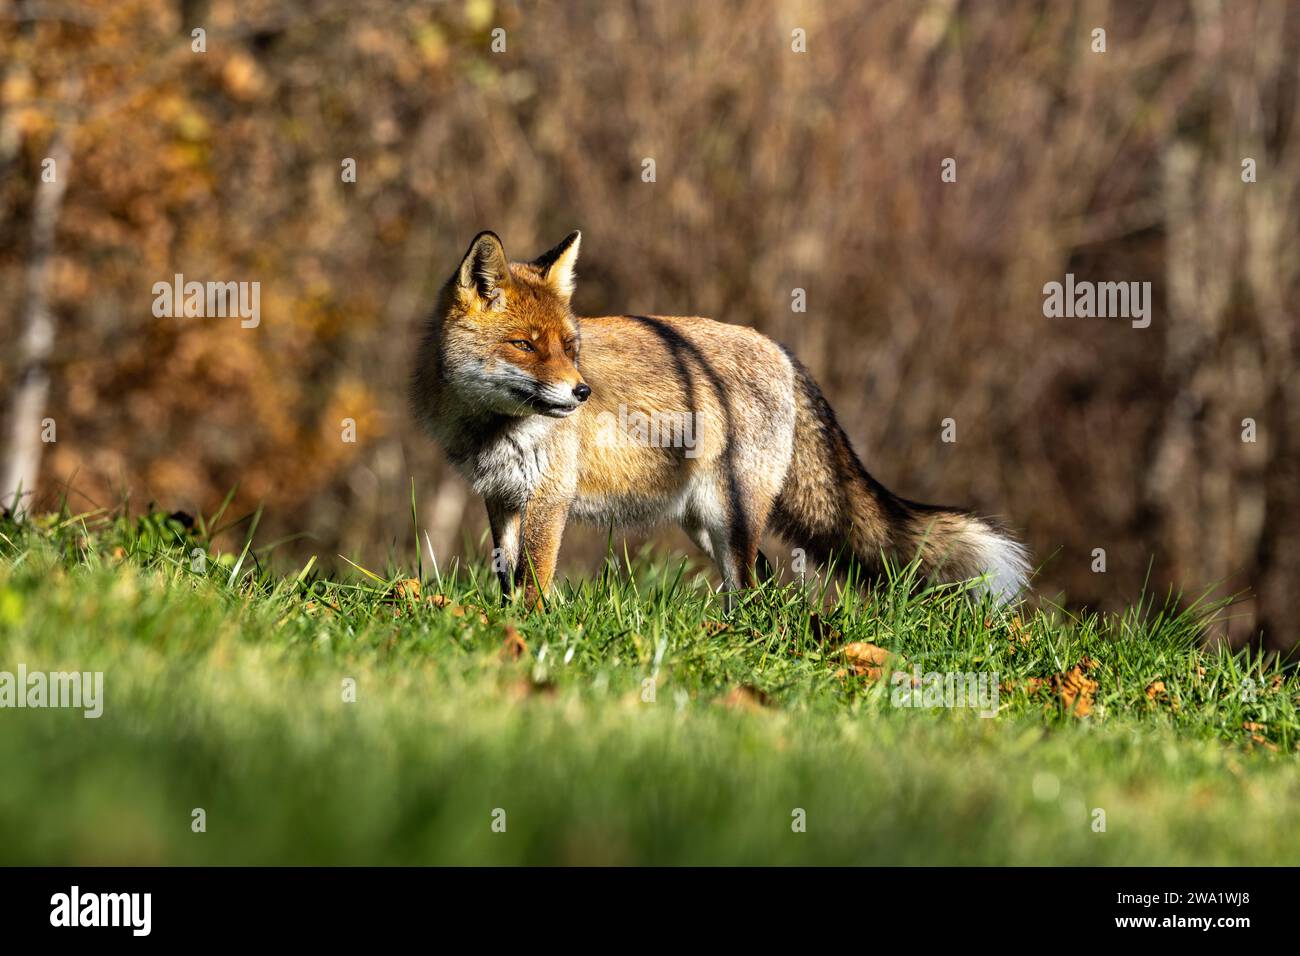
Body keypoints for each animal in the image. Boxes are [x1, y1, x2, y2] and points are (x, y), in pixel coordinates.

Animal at [412, 230, 1030, 609]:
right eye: (524, 345)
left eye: (568, 347)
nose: (582, 392)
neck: (495, 429)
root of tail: (781, 350)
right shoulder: (502, 498)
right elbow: (507, 577)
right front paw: (507, 623)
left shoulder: (550, 497)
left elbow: (534, 581)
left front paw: (534, 630)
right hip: (704, 522)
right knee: (766, 587)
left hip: (732, 518)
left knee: (753, 588)